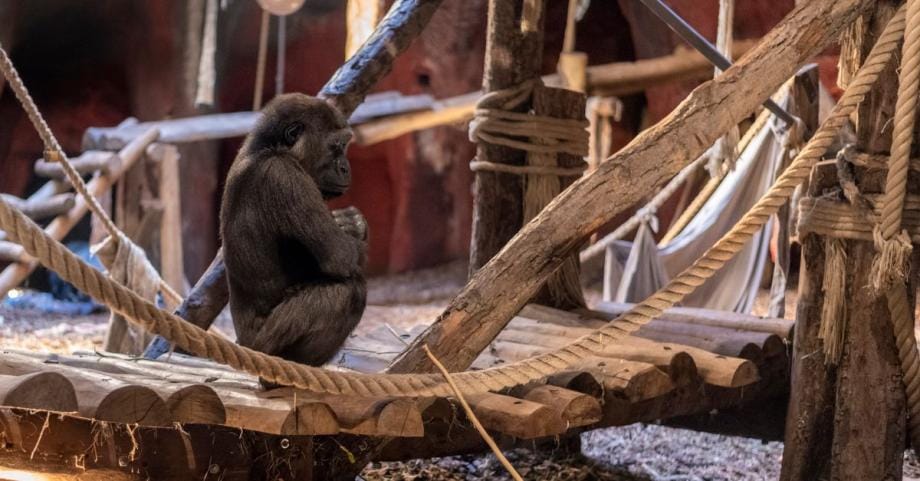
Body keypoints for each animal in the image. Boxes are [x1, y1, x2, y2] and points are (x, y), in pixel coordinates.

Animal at [220, 93, 367, 369]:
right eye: (336, 146)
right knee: (348, 292)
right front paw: (357, 230)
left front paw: (352, 222)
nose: (345, 167)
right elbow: (341, 256)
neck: (268, 148)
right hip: (261, 347)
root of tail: (242, 344)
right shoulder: (285, 176)